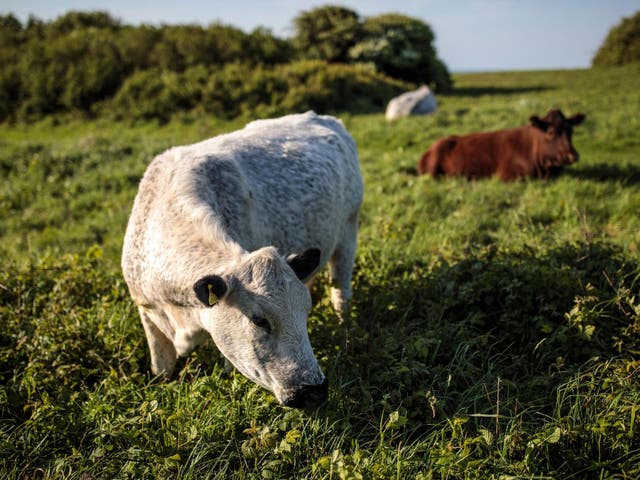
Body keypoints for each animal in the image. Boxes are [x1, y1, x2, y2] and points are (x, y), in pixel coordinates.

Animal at [120, 112, 360, 408]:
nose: (314, 390)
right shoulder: (147, 311)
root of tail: (321, 117)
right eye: (258, 320)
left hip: (349, 231)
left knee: (341, 289)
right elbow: (160, 369)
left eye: (305, 312)